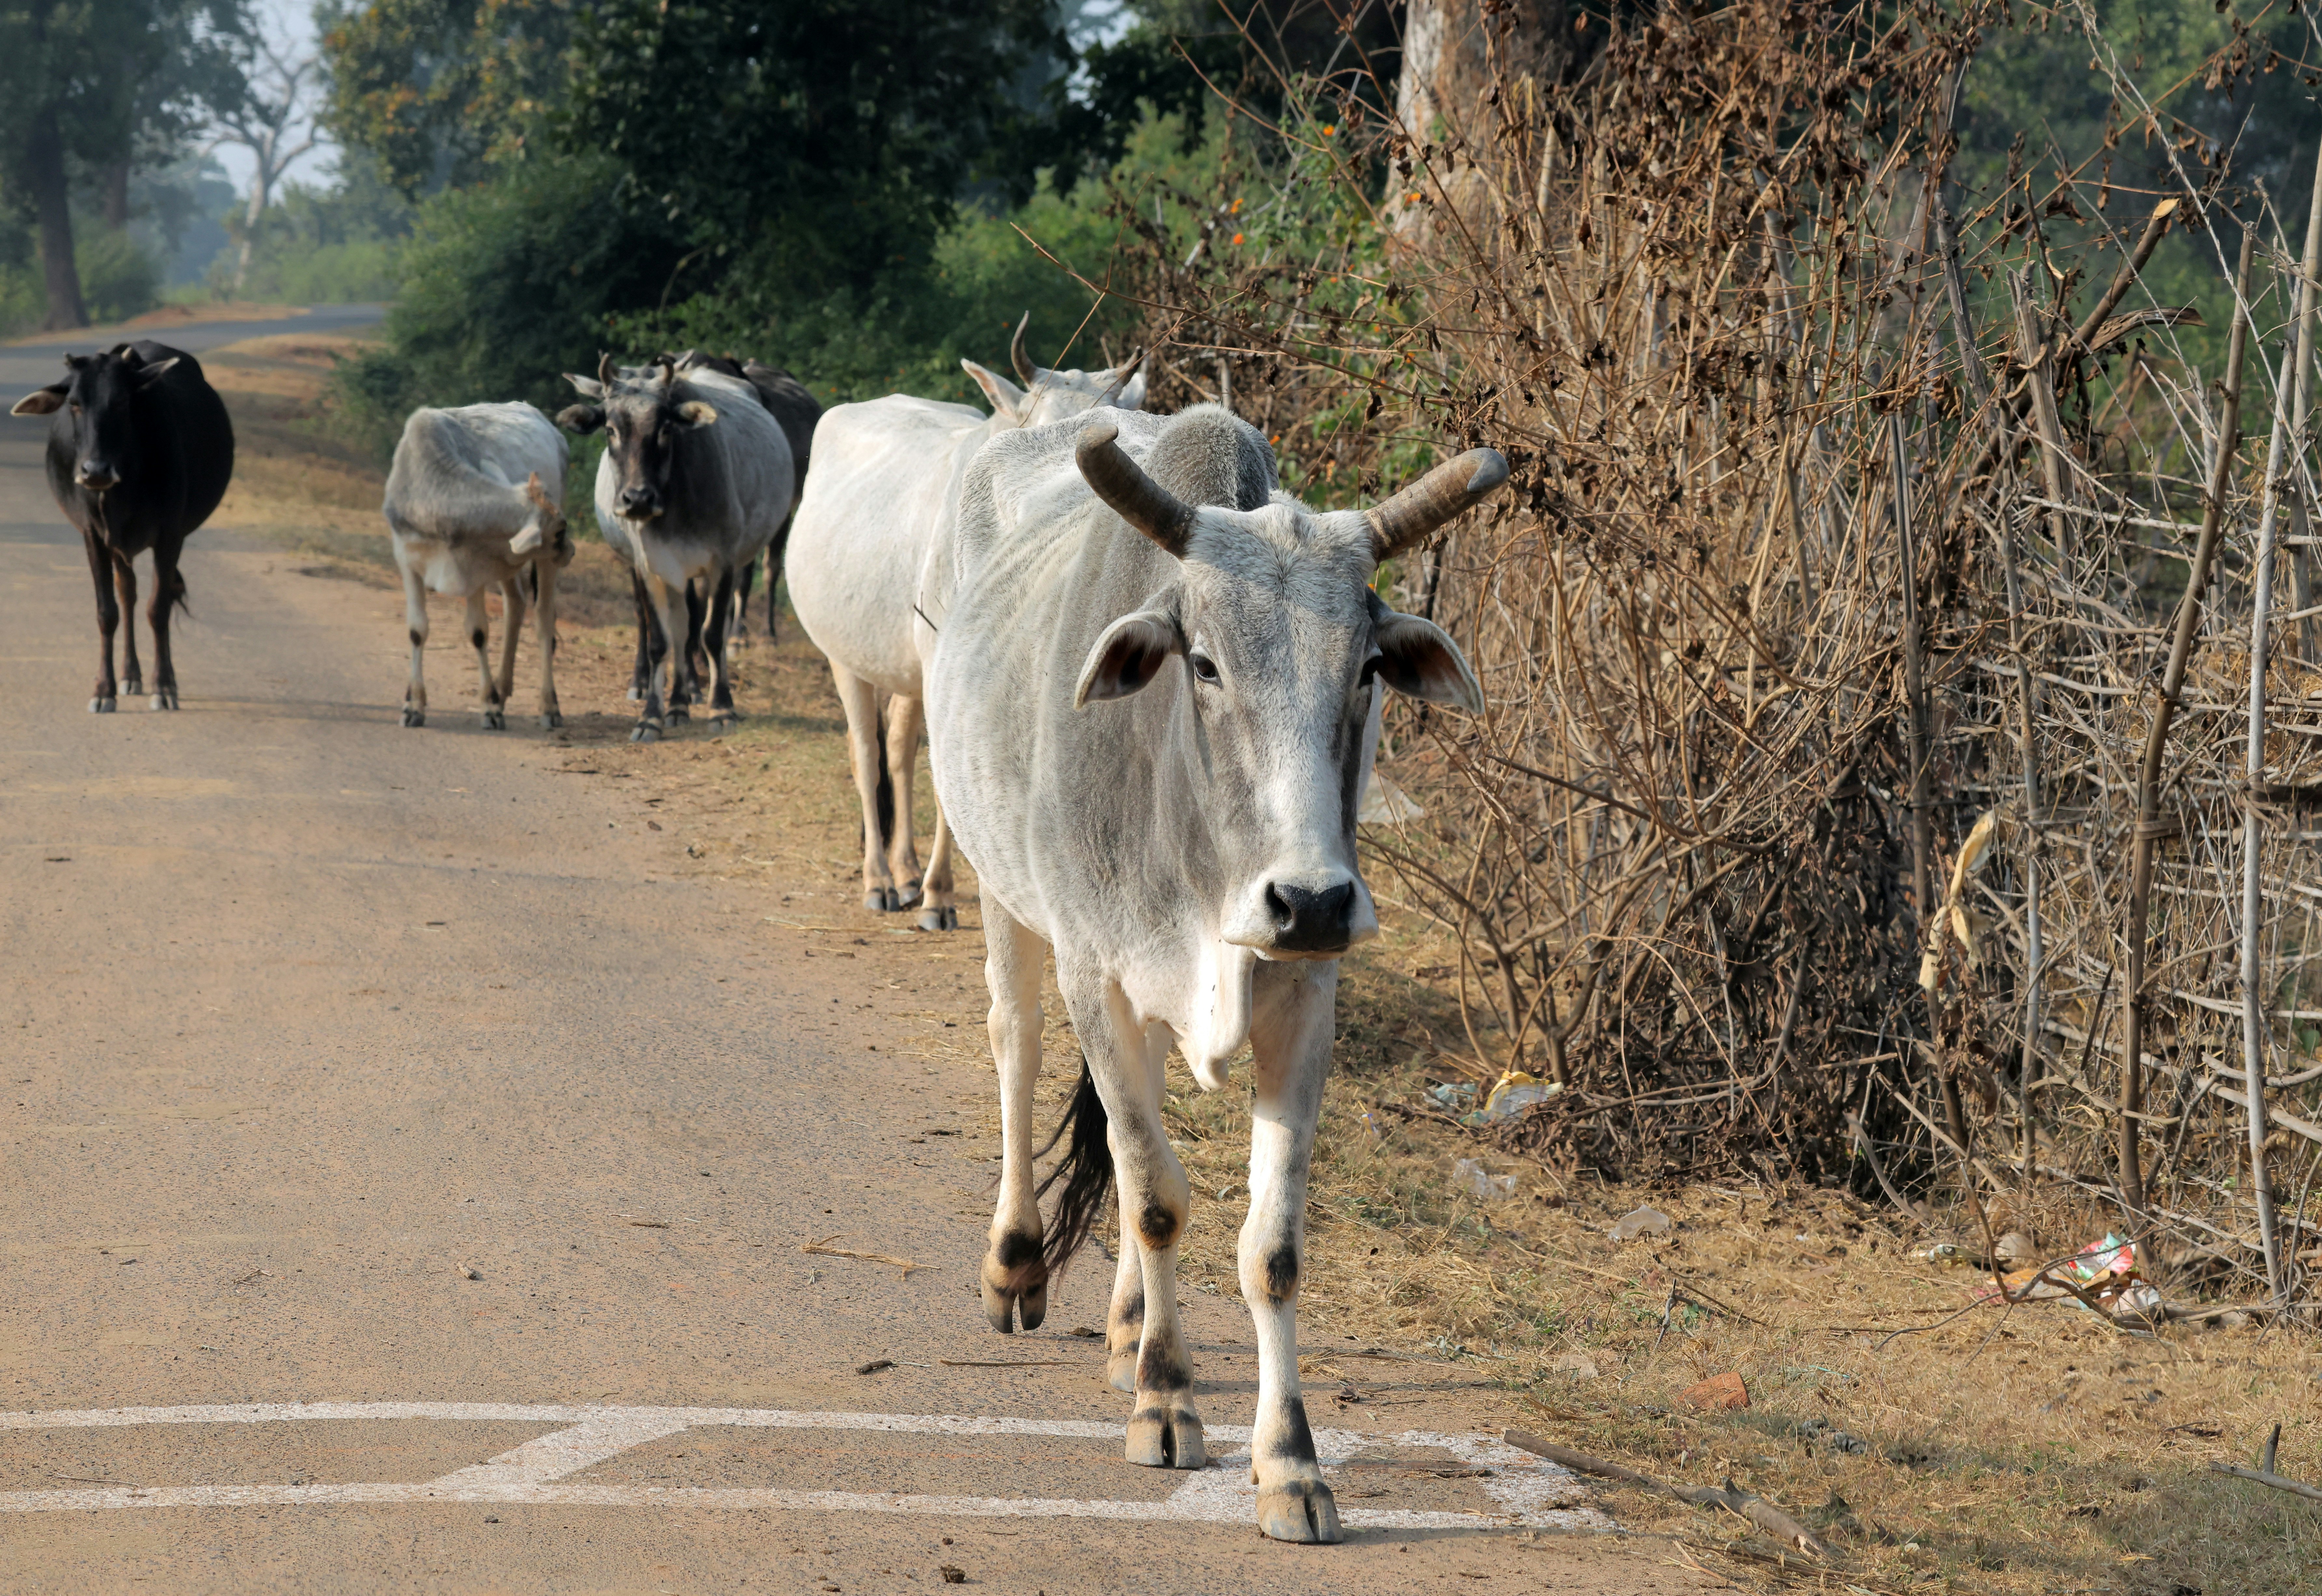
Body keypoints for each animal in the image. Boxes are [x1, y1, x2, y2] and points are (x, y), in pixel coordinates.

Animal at [9, 341, 234, 713]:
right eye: (74, 403)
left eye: (121, 401)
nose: (95, 471)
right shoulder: (94, 536)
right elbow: (107, 613)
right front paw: (104, 690)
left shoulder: (170, 535)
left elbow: (158, 609)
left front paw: (165, 687)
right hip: (117, 547)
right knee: (127, 594)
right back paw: (130, 675)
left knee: (150, 597)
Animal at [381, 402, 572, 731]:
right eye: (560, 530)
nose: (570, 550)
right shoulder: (407, 560)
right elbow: (417, 630)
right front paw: (413, 705)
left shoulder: (473, 571)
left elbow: (478, 633)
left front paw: (490, 708)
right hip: (512, 564)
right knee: (515, 605)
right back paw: (503, 690)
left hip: (545, 563)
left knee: (544, 622)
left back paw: (549, 707)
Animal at [555, 354, 794, 742]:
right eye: (611, 430)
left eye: (665, 429)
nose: (637, 499)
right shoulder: (650, 567)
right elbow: (661, 641)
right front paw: (651, 717)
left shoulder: (722, 564)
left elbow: (712, 635)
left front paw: (722, 708)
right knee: (679, 630)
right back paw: (677, 703)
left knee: (699, 628)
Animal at [786, 316, 1144, 930]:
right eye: (1042, 433)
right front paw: (940, 895)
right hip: (845, 656)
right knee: (867, 756)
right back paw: (881, 880)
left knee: (900, 748)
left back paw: (906, 872)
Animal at [923, 404, 1505, 1543]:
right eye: (1201, 662)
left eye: (1366, 667)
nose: (1311, 900)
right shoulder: (1094, 976)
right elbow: (1154, 1196)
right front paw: (1166, 1400)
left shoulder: (1304, 1003)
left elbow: (1267, 1245)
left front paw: (1289, 1463)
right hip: (1003, 893)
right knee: (1018, 1051)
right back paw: (1018, 1260)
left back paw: (1124, 1325)